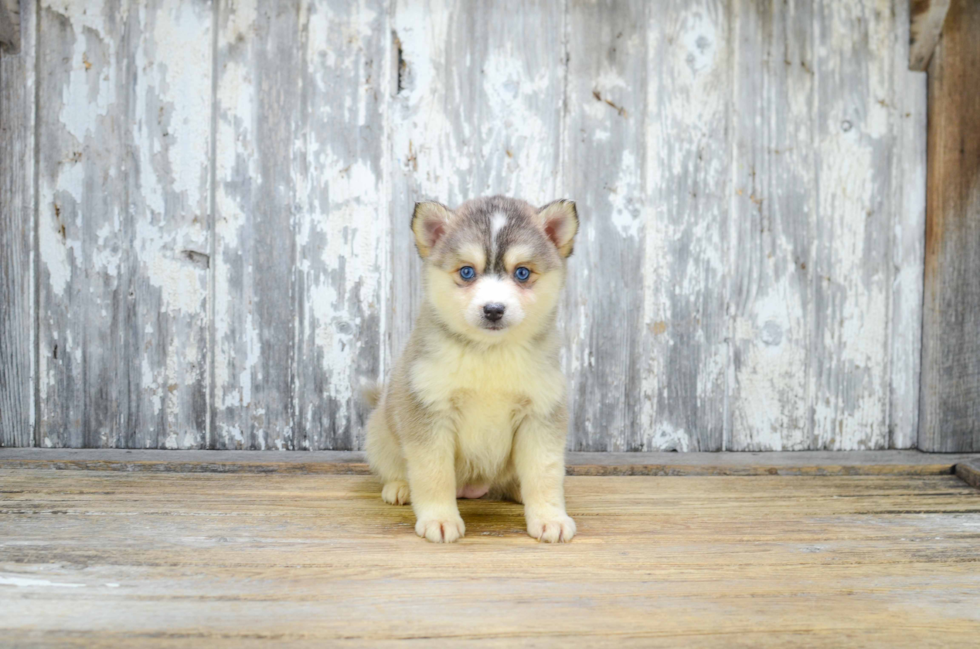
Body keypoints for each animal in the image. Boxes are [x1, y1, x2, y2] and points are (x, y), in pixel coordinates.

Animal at [368, 196, 580, 540]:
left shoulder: (540, 414)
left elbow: (544, 473)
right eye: (467, 272)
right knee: (395, 467)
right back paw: (400, 487)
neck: (489, 354)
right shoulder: (430, 411)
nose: (493, 310)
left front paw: (550, 517)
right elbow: (433, 474)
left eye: (522, 273)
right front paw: (439, 518)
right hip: (377, 433)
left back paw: (517, 489)